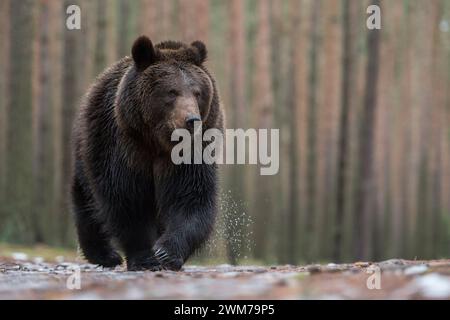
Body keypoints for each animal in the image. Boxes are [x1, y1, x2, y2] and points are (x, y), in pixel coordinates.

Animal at [71, 36, 224, 272]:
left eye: (197, 92)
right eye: (172, 92)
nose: (192, 120)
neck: (158, 142)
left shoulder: (191, 153)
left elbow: (191, 198)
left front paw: (166, 253)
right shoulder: (124, 145)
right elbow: (127, 199)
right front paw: (145, 258)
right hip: (88, 149)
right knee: (88, 202)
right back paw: (105, 255)